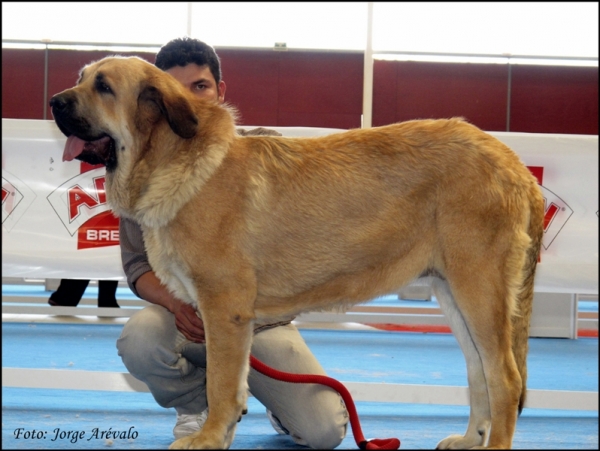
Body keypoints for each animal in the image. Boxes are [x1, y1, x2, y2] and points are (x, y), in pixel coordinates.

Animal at [50, 55, 544, 448]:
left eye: (104, 86)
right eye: (81, 77)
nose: (54, 101)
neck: (173, 155)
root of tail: (513, 163)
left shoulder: (224, 308)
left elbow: (221, 385)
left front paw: (208, 439)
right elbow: (228, 384)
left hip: (479, 289)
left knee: (505, 378)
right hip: (455, 293)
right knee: (478, 374)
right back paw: (469, 439)